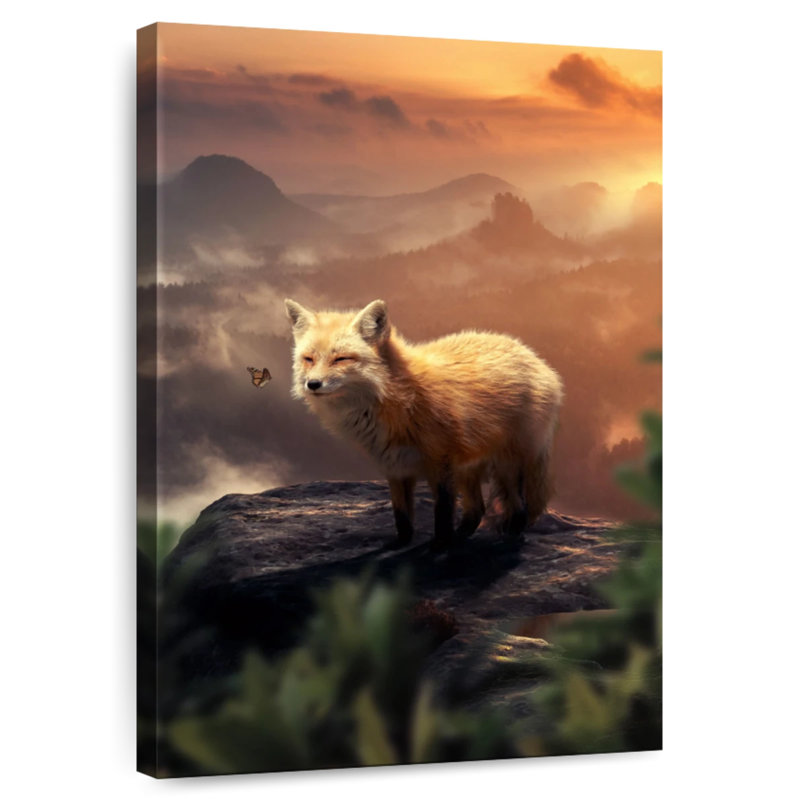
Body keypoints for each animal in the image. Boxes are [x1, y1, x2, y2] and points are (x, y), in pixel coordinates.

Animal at [285, 298, 564, 550]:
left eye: (341, 359)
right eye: (309, 359)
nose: (313, 384)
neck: (396, 398)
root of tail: (534, 358)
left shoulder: (441, 462)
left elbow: (442, 512)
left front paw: (439, 546)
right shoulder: (394, 464)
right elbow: (402, 516)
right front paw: (402, 545)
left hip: (506, 465)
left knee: (519, 509)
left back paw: (509, 539)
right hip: (469, 469)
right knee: (477, 510)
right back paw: (462, 537)